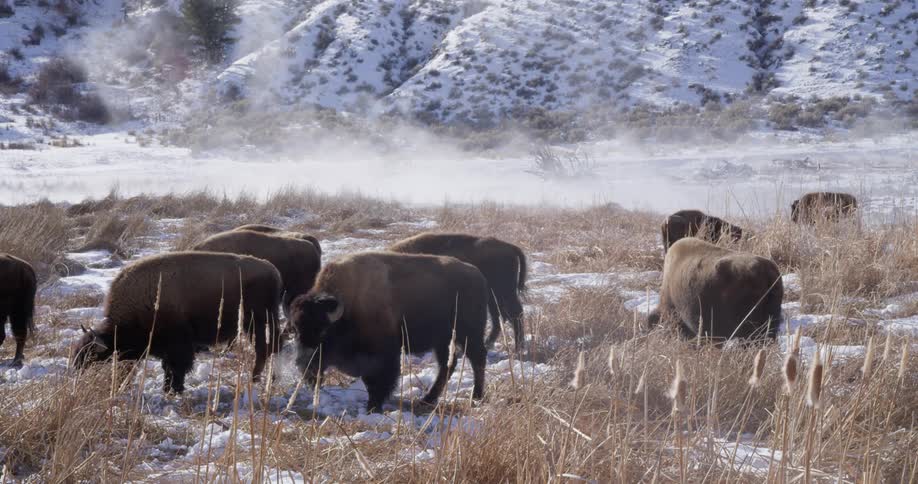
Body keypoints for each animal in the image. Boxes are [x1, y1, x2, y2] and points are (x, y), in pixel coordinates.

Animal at [72, 252, 282, 393]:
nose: (76, 368)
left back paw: (256, 379)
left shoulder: (178, 344)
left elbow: (176, 367)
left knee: (263, 349)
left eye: (90, 354)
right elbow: (168, 367)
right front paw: (168, 388)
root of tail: (272, 270)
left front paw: (174, 389)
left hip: (257, 322)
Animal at [289, 251, 489, 412]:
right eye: (296, 331)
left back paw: (476, 397)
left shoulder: (383, 356)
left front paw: (373, 408)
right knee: (447, 365)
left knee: (477, 358)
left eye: (323, 331)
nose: (305, 366)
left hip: (469, 334)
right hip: (443, 340)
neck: (348, 309)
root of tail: (477, 275)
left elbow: (378, 382)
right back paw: (426, 400)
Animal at [389, 232, 527, 350]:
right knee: (499, 317)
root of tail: (510, 247)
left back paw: (517, 349)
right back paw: (490, 344)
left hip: (504, 292)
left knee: (514, 314)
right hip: (494, 297)